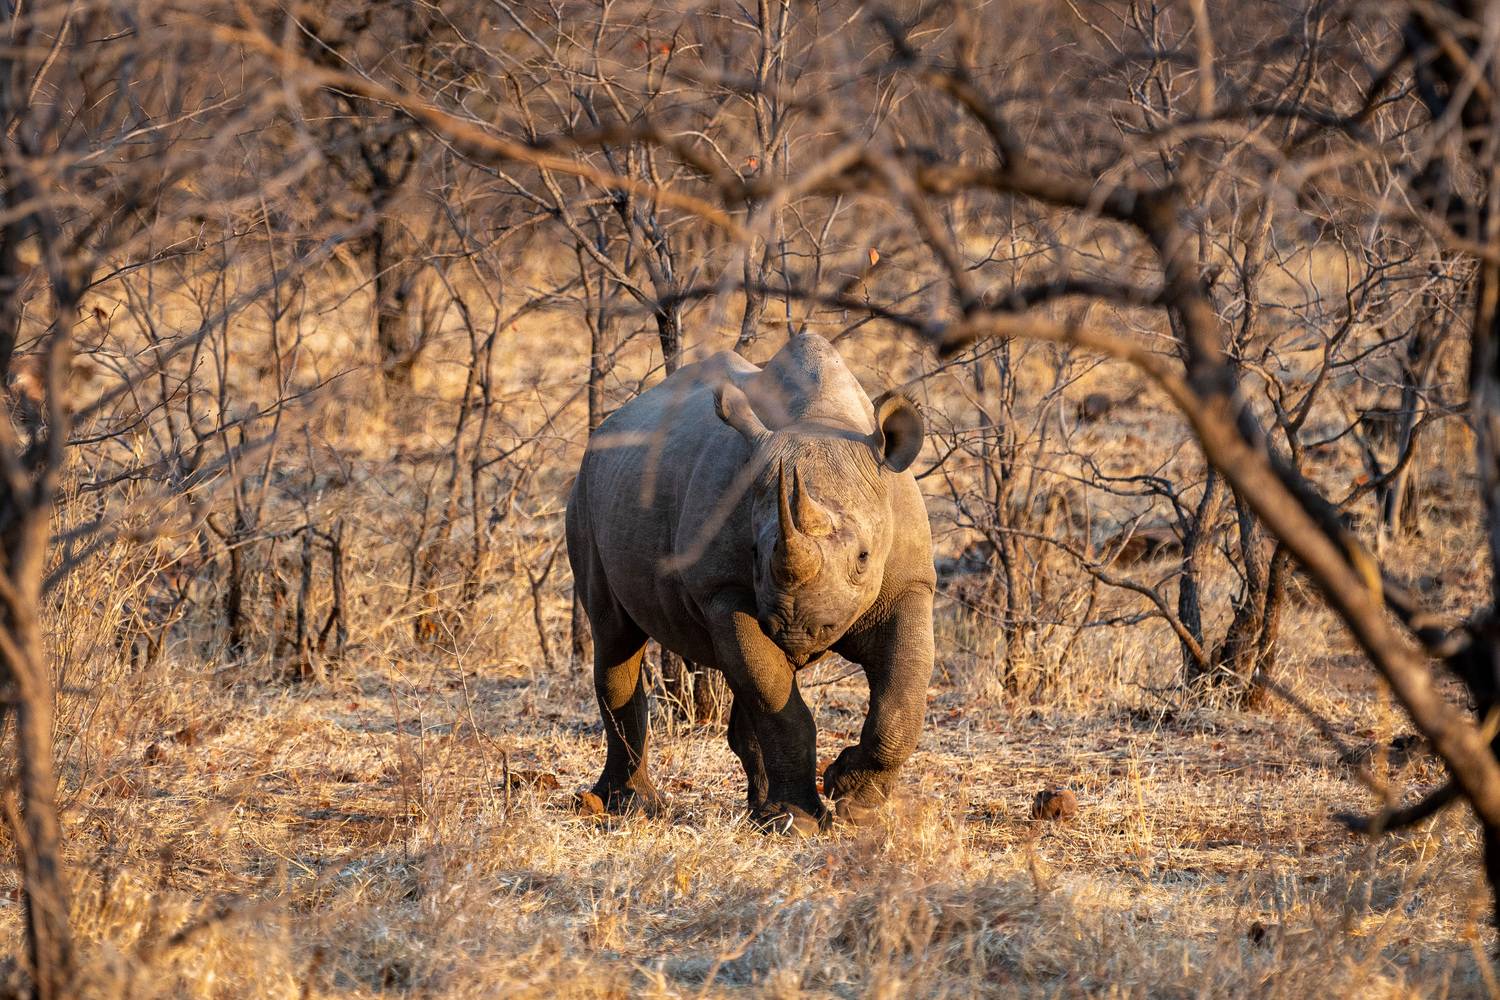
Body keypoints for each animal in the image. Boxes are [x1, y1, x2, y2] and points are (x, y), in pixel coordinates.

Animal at [565, 332, 935, 834]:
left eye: (863, 558)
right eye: (756, 554)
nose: (797, 630)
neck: (823, 420)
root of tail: (606, 427)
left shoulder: (911, 584)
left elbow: (902, 699)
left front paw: (855, 804)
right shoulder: (724, 590)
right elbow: (780, 705)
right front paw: (804, 821)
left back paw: (761, 814)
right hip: (584, 489)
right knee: (614, 634)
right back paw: (629, 806)